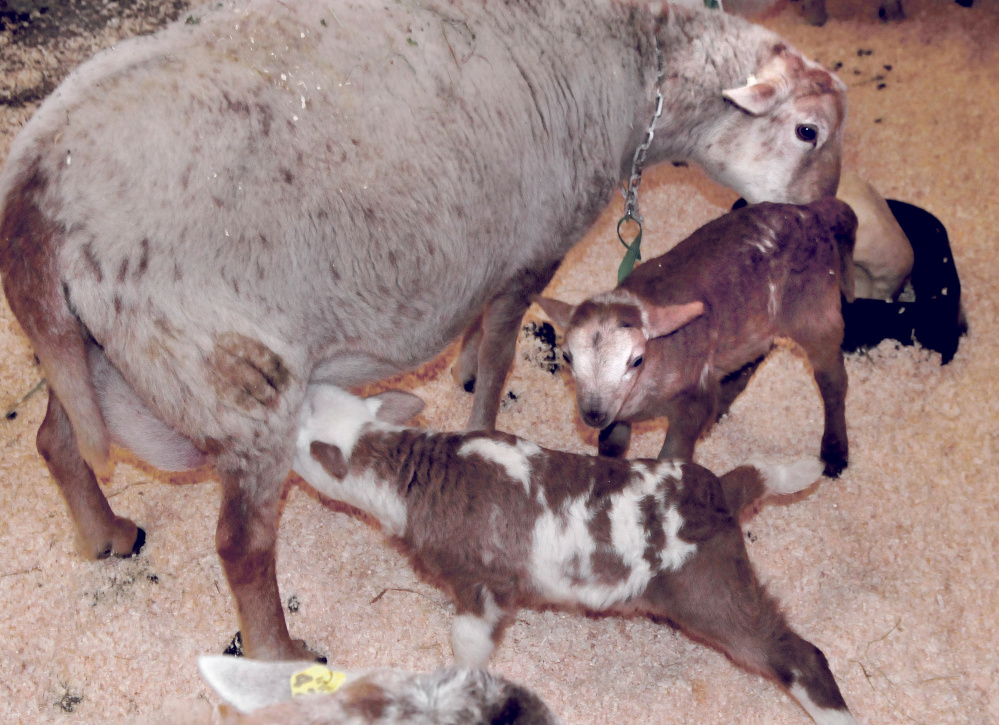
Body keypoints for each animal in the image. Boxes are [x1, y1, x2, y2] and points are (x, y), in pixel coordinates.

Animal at [292, 384, 856, 724]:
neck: (411, 469)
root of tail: (721, 491)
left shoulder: (481, 584)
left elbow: (468, 643)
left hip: (714, 595)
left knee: (800, 655)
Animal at [540, 198, 860, 476]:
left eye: (637, 360)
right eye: (567, 357)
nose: (593, 414)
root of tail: (813, 212)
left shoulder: (695, 392)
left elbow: (673, 454)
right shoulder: (617, 413)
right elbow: (611, 446)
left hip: (815, 308)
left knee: (832, 379)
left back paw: (834, 452)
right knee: (752, 359)